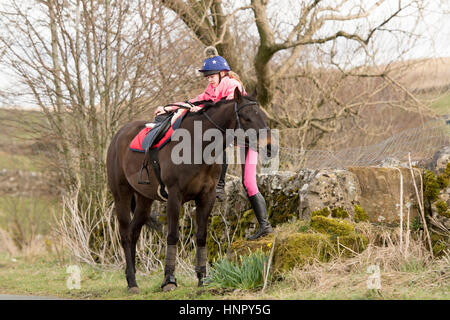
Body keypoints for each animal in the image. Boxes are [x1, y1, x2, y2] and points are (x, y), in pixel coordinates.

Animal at [107, 87, 268, 292]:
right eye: (246, 118)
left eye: (261, 115)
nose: (268, 145)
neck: (197, 146)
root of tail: (119, 135)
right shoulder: (174, 197)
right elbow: (173, 236)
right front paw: (169, 279)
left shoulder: (206, 197)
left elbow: (201, 237)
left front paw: (202, 278)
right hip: (122, 195)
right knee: (126, 234)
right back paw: (132, 282)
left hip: (144, 200)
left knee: (134, 232)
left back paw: (132, 276)